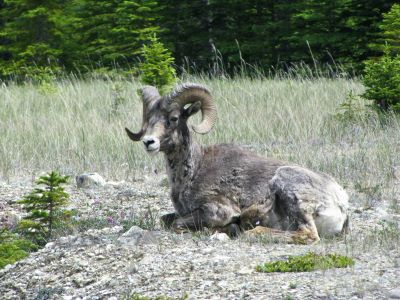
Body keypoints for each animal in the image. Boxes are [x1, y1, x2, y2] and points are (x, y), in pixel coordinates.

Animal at [125, 83, 346, 243]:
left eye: (173, 118)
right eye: (148, 118)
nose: (149, 142)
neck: (192, 172)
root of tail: (340, 202)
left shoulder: (217, 210)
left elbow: (176, 224)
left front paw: (227, 227)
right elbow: (165, 219)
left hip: (288, 187)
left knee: (306, 234)